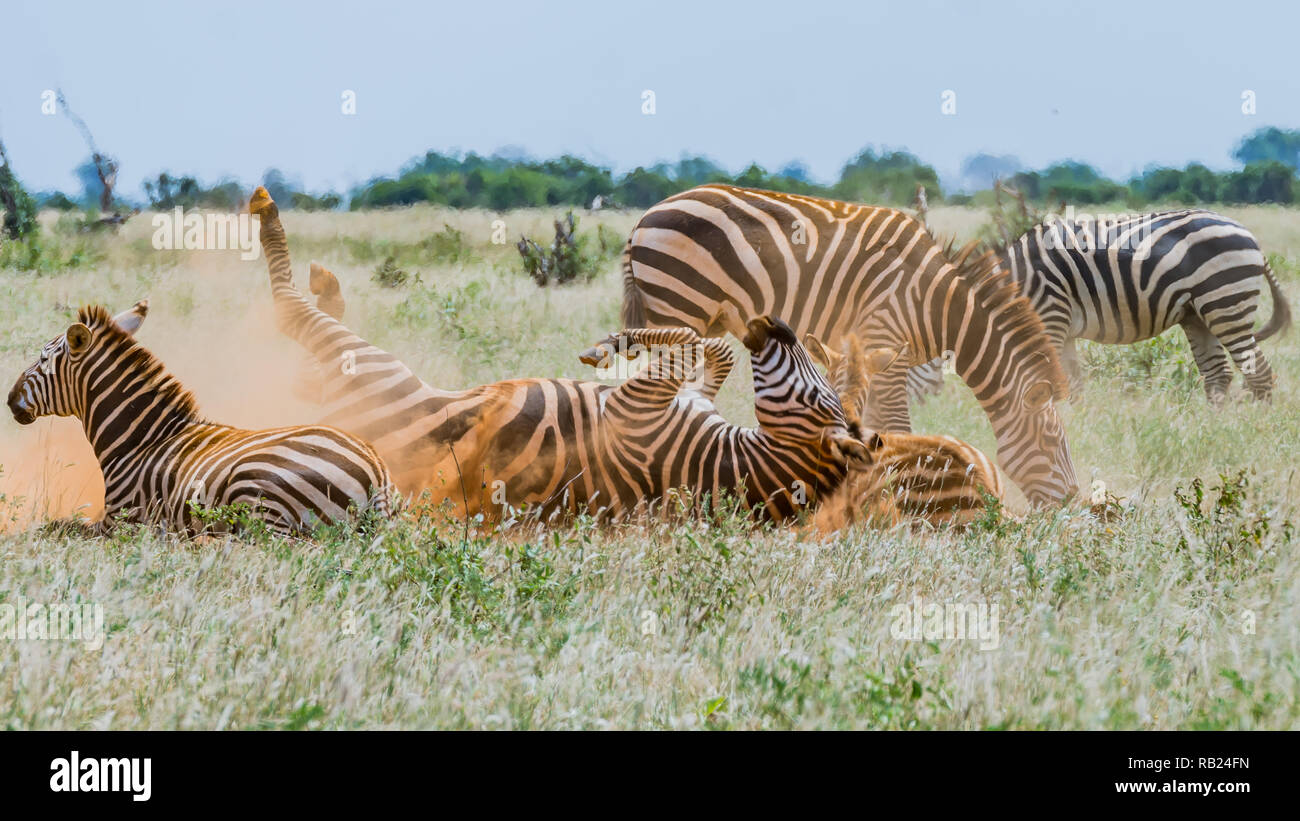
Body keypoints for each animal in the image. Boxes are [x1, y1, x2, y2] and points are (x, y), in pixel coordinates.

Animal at [6, 300, 395, 532]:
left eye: (42, 359)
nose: (9, 400)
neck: (141, 441)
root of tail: (374, 467)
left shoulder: (122, 520)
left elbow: (59, 528)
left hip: (259, 496)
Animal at [579, 314, 873, 519]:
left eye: (814, 396)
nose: (775, 322)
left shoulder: (631, 407)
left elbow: (689, 336)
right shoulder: (697, 394)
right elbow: (718, 347)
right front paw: (616, 342)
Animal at [618, 185, 1076, 506]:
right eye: (1052, 442)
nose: (1072, 503)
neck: (939, 306)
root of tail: (645, 218)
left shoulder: (879, 357)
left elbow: (872, 421)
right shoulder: (885, 338)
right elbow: (896, 426)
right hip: (680, 305)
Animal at [904, 211, 1289, 405]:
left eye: (905, 359)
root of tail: (1248, 234)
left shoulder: (1050, 318)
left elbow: (1050, 382)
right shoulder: (1063, 331)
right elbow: (1073, 385)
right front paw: (1078, 425)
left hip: (1225, 303)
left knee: (1258, 374)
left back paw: (1250, 432)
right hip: (1198, 315)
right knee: (1218, 376)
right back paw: (1206, 430)